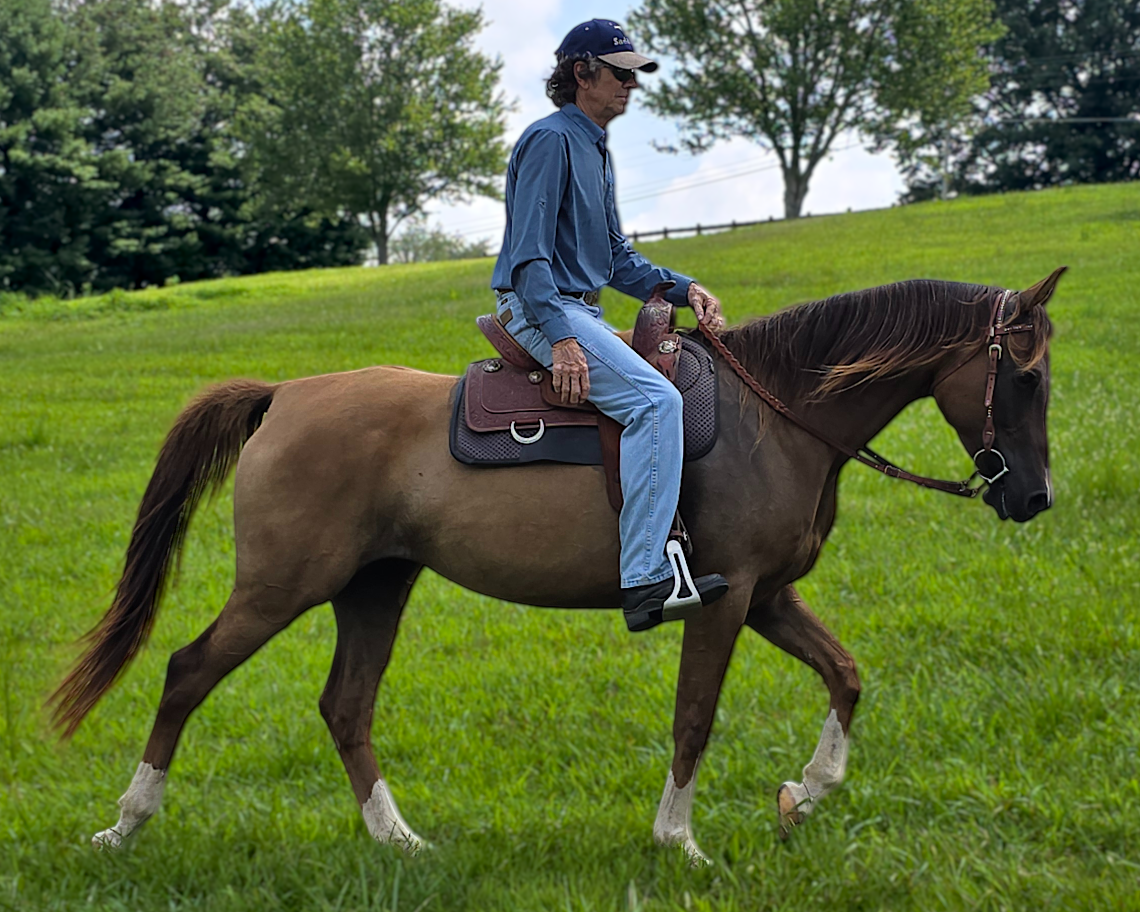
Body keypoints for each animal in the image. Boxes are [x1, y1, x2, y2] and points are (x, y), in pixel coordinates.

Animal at [50, 268, 1063, 863]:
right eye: (1024, 377)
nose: (1035, 499)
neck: (775, 416)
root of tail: (285, 396)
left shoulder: (769, 596)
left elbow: (847, 676)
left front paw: (802, 796)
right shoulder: (722, 602)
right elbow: (695, 718)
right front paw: (678, 841)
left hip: (374, 588)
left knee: (345, 706)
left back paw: (400, 840)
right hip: (280, 589)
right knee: (187, 673)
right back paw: (125, 823)